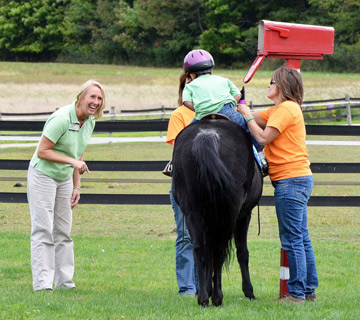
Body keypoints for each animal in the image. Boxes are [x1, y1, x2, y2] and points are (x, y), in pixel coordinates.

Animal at [172, 119, 262, 306]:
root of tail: (207, 136)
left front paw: (208, 289)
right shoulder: (243, 215)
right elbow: (242, 252)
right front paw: (249, 292)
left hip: (194, 213)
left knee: (200, 250)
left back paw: (203, 298)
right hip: (227, 215)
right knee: (219, 252)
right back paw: (217, 297)